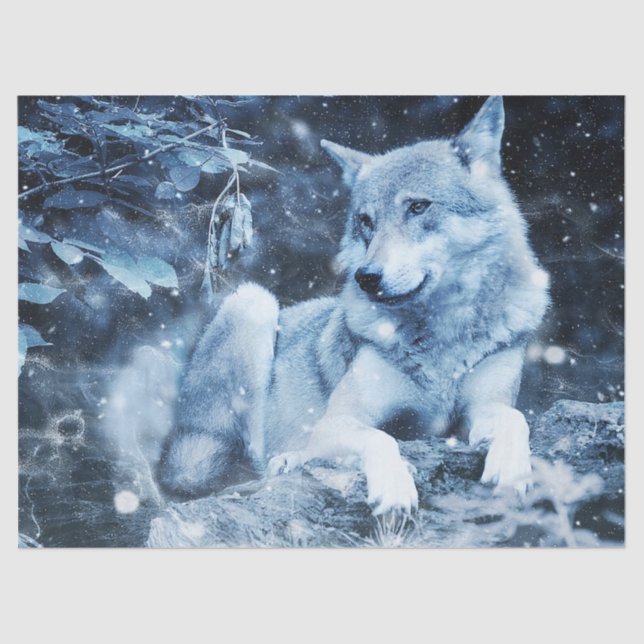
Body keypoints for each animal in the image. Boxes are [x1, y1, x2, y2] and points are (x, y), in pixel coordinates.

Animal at [157, 96, 550, 515]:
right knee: (249, 463)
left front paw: (513, 469)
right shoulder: (338, 420)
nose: (367, 277)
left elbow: (515, 417)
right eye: (366, 221)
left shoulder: (480, 412)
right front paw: (395, 488)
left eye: (418, 207)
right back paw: (287, 460)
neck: (441, 335)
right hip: (253, 302)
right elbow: (382, 438)